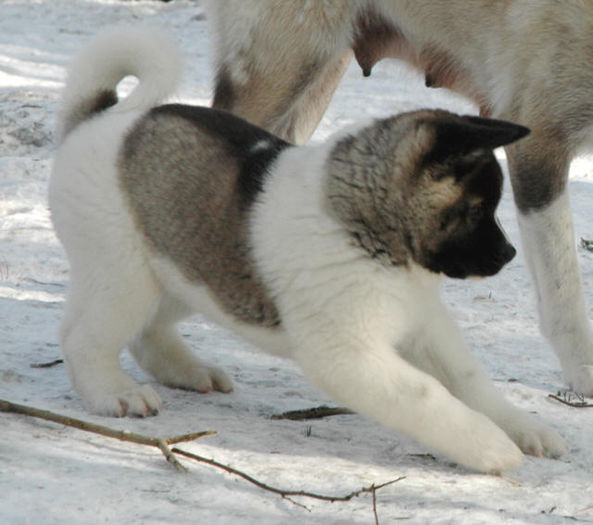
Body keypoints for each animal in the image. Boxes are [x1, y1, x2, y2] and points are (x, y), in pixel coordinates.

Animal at [52, 26, 564, 472]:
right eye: (477, 211)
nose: (508, 255)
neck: (371, 229)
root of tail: (102, 119)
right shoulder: (348, 354)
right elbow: (424, 393)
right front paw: (491, 447)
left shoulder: (424, 324)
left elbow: (468, 379)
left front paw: (523, 428)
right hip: (127, 275)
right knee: (85, 339)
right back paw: (115, 393)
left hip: (189, 266)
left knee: (148, 330)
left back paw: (189, 371)